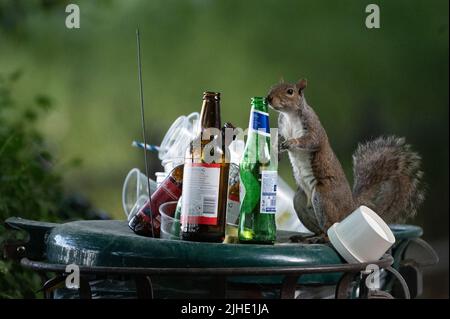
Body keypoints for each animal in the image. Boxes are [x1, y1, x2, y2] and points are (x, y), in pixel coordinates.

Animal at [266, 79, 424, 239]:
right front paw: (274, 150)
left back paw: (318, 238)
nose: (268, 98)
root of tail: (350, 210)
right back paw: (306, 237)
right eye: (272, 87)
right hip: (300, 201)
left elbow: (312, 140)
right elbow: (280, 139)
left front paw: (292, 143)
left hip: (323, 196)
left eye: (290, 91)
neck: (289, 115)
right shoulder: (282, 128)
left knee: (329, 230)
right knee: (319, 227)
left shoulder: (313, 126)